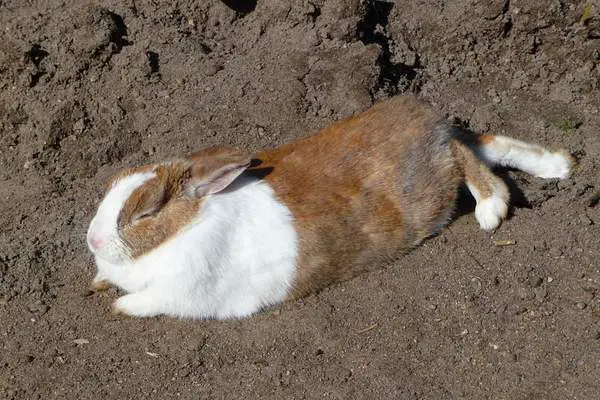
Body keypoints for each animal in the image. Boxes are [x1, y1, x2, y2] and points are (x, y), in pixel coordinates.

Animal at [86, 94, 576, 318]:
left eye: (146, 213)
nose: (92, 240)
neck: (184, 226)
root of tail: (427, 119)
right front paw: (98, 282)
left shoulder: (185, 292)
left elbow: (147, 301)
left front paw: (119, 306)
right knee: (479, 143)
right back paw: (559, 165)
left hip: (435, 181)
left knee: (465, 155)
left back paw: (491, 210)